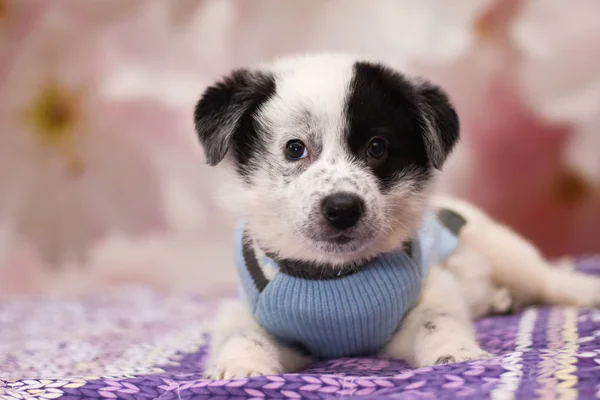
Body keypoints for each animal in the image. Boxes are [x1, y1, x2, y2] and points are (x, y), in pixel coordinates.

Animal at [193, 53, 600, 378]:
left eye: (377, 148)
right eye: (295, 149)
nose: (342, 208)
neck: (336, 276)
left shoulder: (428, 297)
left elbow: (438, 321)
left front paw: (456, 353)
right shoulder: (254, 315)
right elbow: (242, 333)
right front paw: (240, 366)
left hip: (505, 251)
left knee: (547, 279)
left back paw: (581, 290)